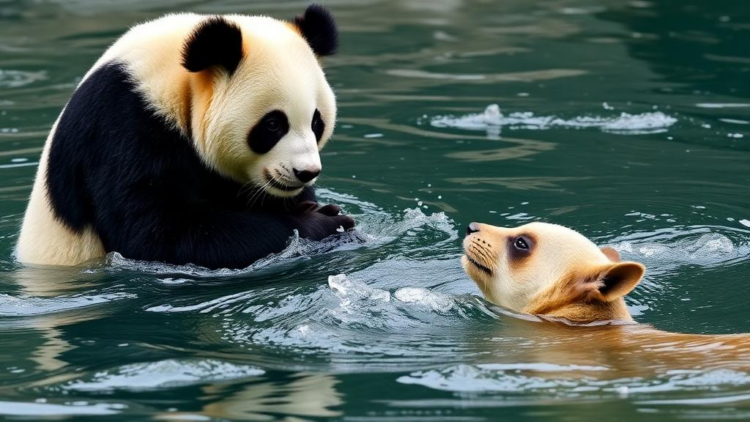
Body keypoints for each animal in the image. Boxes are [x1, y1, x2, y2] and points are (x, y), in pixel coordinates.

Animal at [16, 5, 355, 270]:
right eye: (273, 125)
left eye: (316, 122)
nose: (306, 172)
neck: (176, 80)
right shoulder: (122, 123)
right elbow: (156, 233)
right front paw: (322, 222)